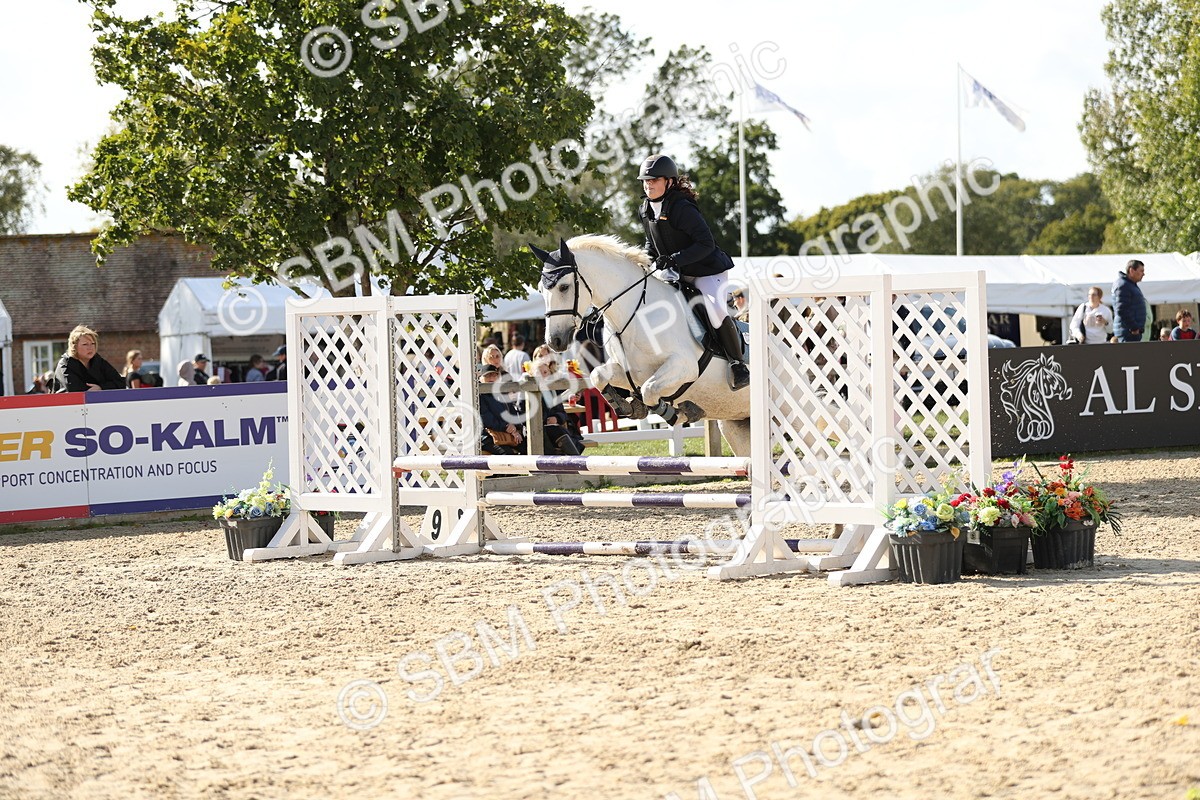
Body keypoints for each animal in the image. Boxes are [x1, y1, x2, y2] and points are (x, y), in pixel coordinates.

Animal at [530, 235, 752, 457]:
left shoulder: (685, 366)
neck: (636, 315)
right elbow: (599, 376)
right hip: (736, 423)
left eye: (564, 287)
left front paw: (681, 413)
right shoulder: (631, 372)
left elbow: (650, 390)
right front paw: (629, 407)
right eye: (540, 290)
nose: (554, 341)